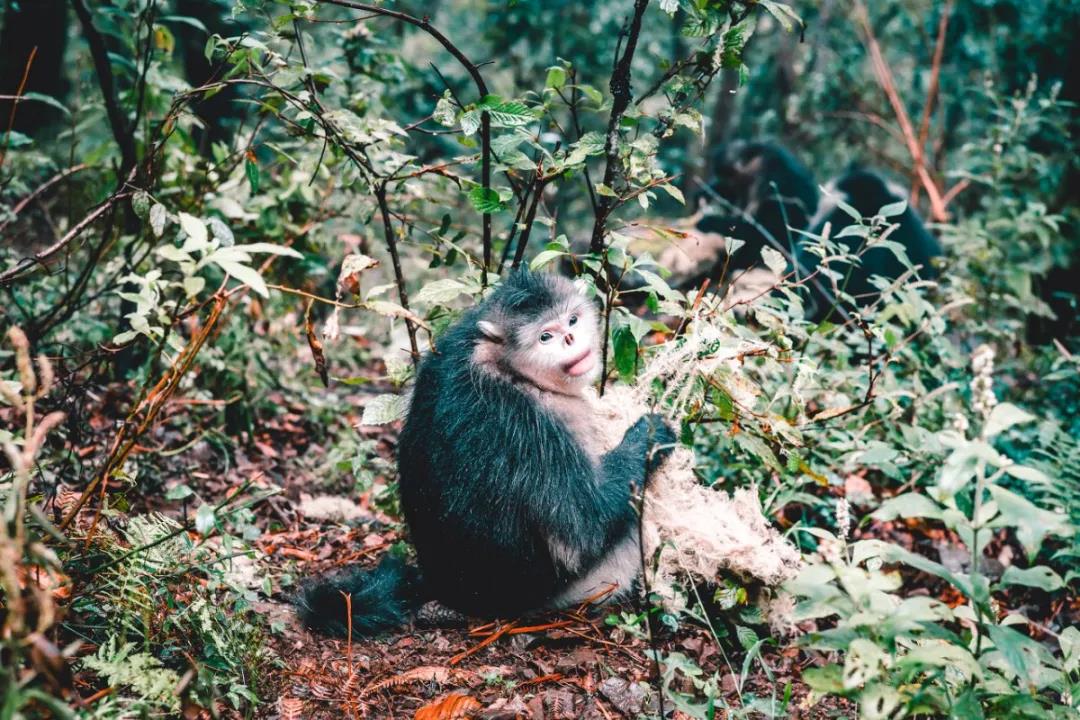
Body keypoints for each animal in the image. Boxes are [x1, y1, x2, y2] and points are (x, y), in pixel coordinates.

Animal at [295, 268, 673, 634]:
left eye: (572, 320)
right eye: (545, 337)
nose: (569, 338)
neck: (504, 363)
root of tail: (449, 588)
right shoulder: (530, 423)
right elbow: (586, 527)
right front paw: (650, 436)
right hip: (579, 586)